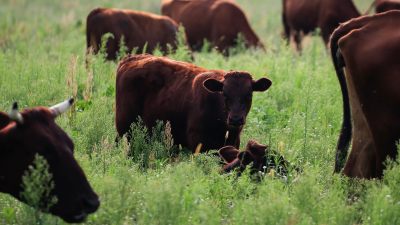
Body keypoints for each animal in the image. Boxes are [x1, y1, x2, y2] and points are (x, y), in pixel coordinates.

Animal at [115, 54, 272, 153]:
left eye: (249, 94)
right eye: (224, 94)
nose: (236, 119)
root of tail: (131, 58)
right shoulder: (198, 144)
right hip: (124, 127)